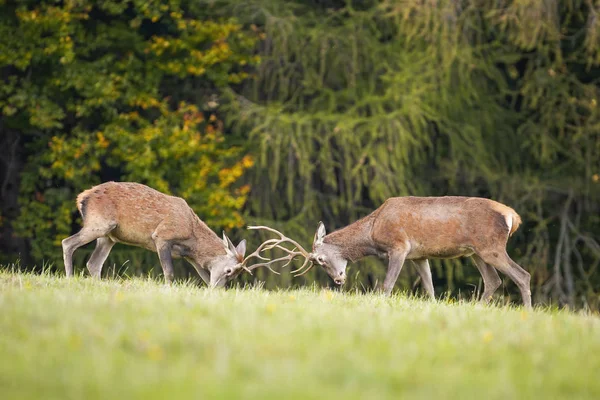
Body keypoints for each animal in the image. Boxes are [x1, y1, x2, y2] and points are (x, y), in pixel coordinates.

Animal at [59, 181, 280, 288]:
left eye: (235, 276)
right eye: (229, 271)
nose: (220, 289)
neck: (191, 237)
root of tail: (82, 197)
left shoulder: (190, 256)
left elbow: (204, 276)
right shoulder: (162, 236)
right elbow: (169, 272)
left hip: (108, 236)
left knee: (93, 263)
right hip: (100, 224)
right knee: (67, 242)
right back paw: (69, 278)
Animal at [251, 195, 532, 308]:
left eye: (320, 259)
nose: (339, 280)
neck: (373, 230)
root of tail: (512, 216)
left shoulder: (399, 246)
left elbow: (386, 285)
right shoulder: (419, 255)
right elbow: (429, 288)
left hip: (491, 247)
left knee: (523, 275)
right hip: (475, 252)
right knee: (493, 281)